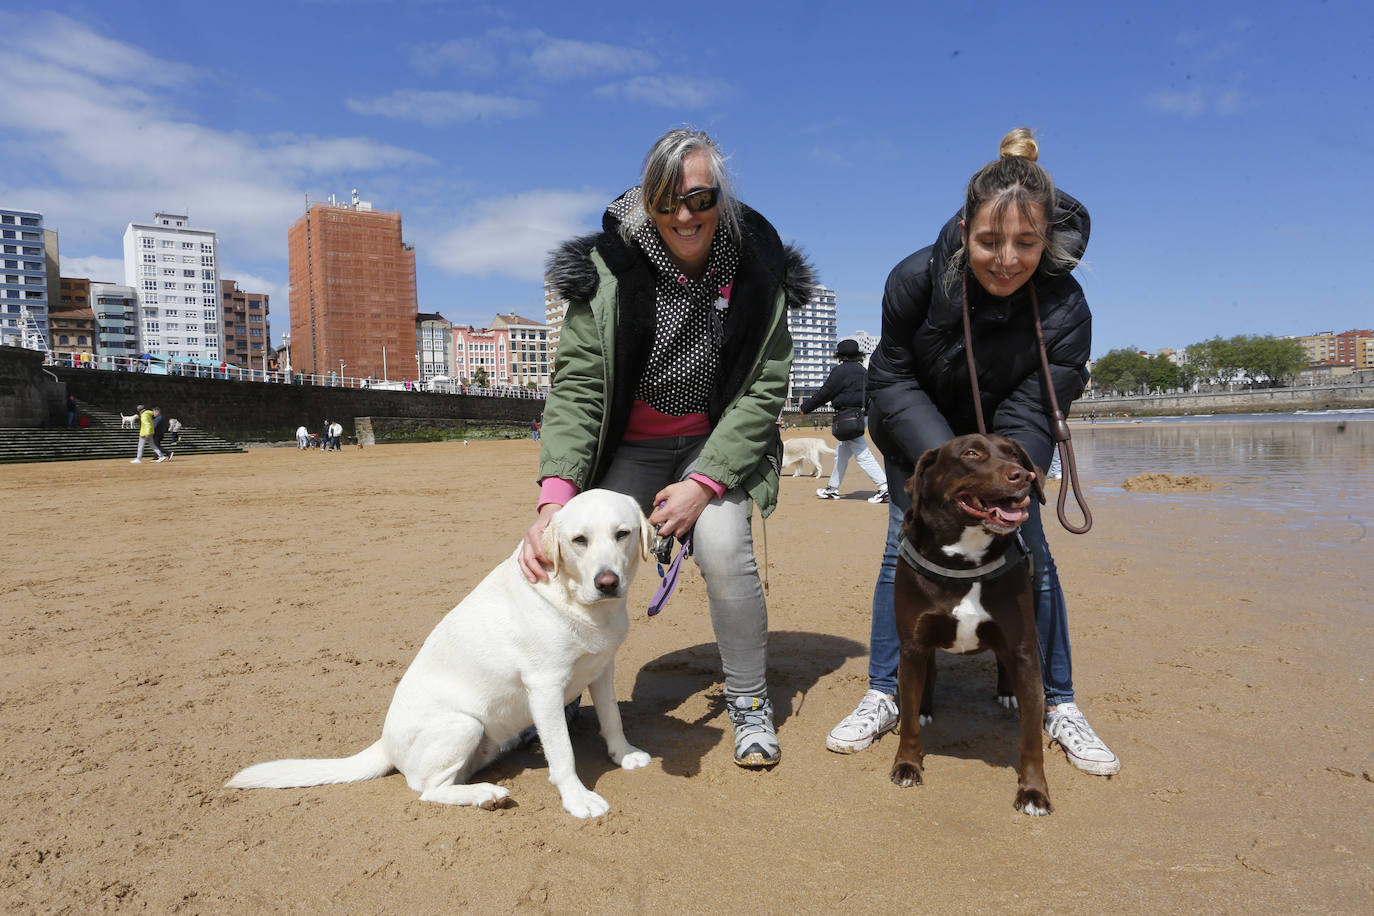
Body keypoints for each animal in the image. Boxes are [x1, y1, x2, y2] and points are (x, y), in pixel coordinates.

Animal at [225, 491, 654, 818]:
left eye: (623, 534)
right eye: (580, 540)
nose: (607, 582)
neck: (583, 606)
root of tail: (384, 743)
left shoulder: (602, 668)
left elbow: (612, 718)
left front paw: (624, 754)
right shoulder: (545, 687)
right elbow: (562, 752)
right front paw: (577, 799)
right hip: (464, 724)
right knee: (427, 790)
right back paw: (483, 794)